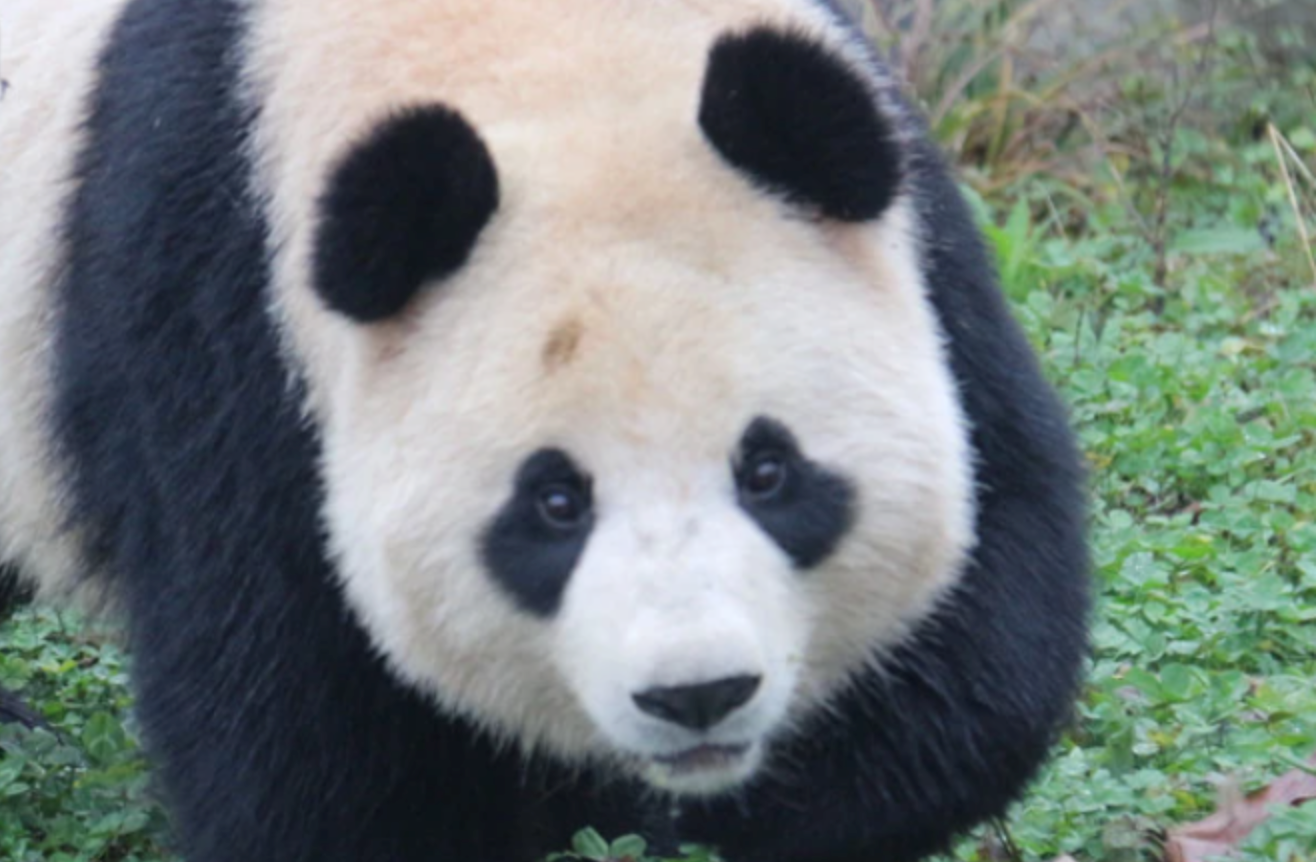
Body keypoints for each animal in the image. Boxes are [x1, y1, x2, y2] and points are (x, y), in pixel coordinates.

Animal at [0, 0, 1090, 861]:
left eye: (769, 471)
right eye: (555, 503)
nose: (696, 694)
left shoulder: (915, 237)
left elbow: (989, 626)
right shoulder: (222, 318)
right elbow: (299, 733)